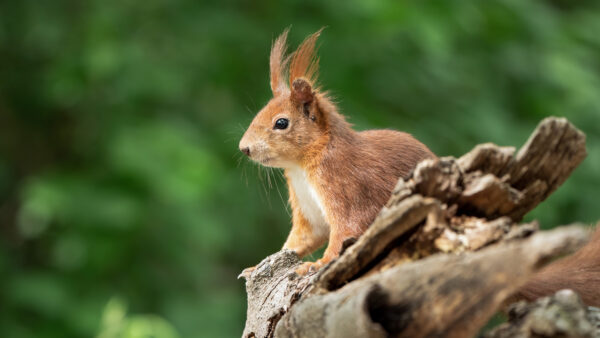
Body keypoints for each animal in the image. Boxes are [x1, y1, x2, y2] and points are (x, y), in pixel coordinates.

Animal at [239, 29, 600, 308]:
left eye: (281, 123)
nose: (244, 148)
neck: (302, 168)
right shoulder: (307, 207)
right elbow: (301, 239)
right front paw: (258, 266)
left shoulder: (347, 187)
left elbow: (345, 231)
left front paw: (317, 265)